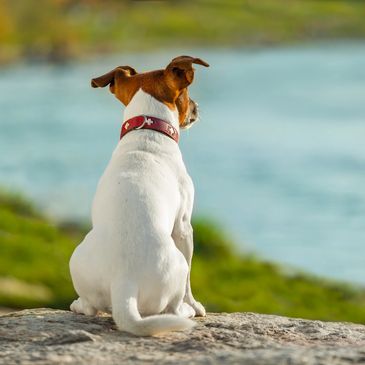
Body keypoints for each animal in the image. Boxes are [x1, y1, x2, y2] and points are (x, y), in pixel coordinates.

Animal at [69, 54, 209, 336]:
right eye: (187, 94)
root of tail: (124, 283)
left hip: (76, 260)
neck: (147, 130)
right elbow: (190, 281)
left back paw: (78, 304)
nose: (197, 107)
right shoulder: (184, 227)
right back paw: (186, 310)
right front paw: (195, 305)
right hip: (177, 264)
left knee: (90, 306)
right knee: (172, 308)